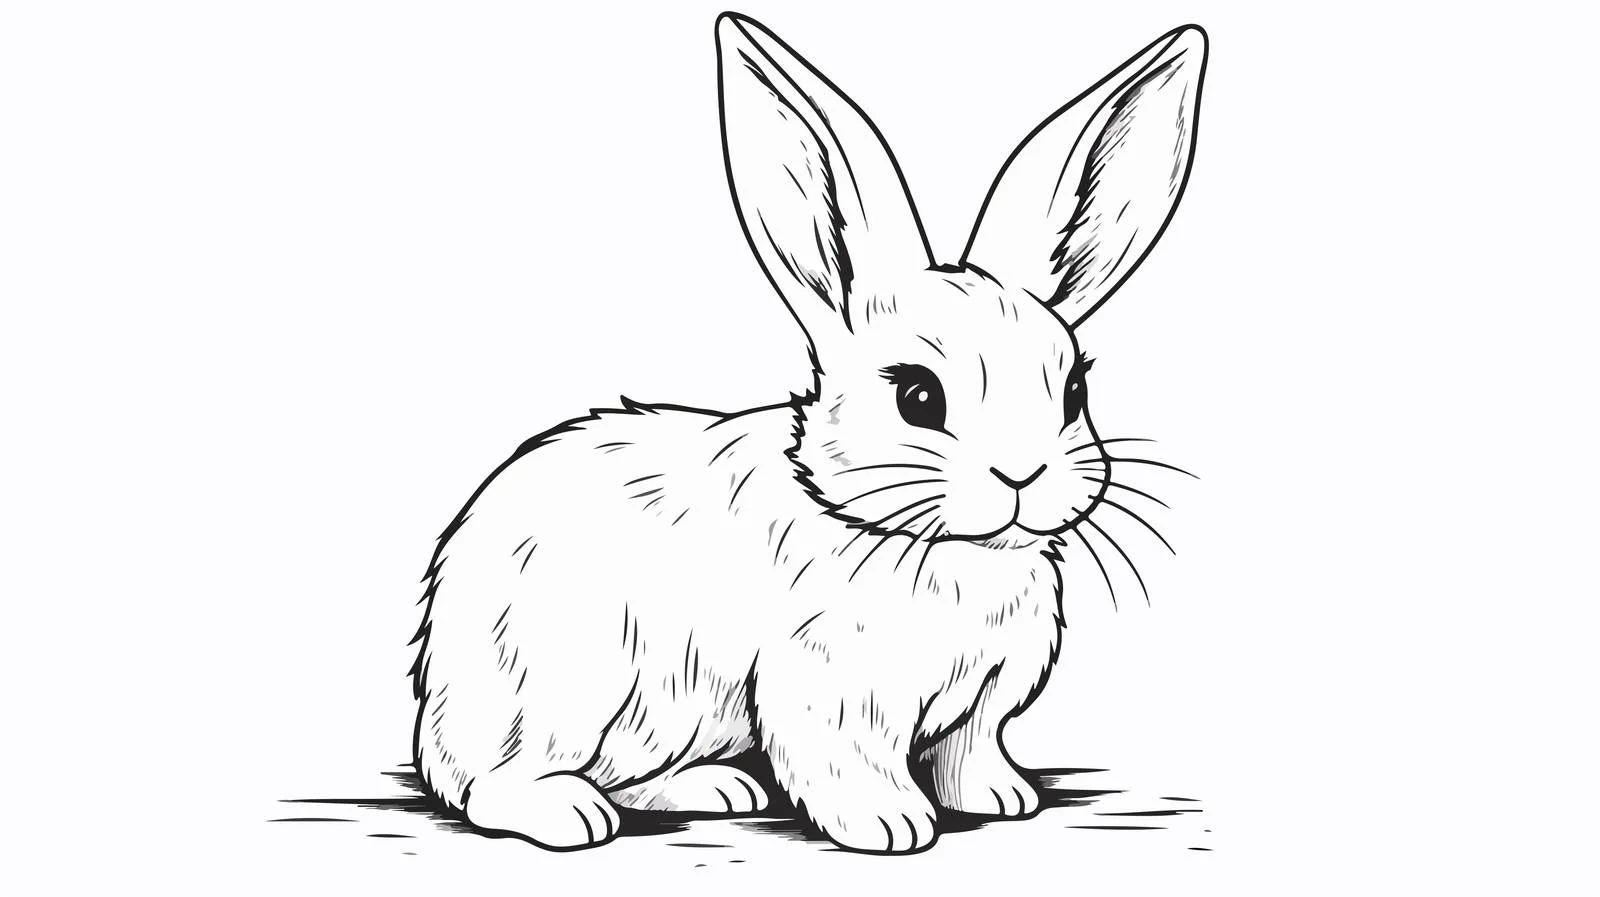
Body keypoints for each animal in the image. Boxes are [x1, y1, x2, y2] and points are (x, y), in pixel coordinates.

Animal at [410, 12, 1206, 854]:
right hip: (559, 688)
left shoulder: (982, 702)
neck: (944, 550)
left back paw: (718, 789)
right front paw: (893, 825)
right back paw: (570, 813)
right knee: (487, 782)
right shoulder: (831, 686)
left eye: (1075, 389)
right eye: (918, 396)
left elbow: (969, 752)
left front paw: (1001, 797)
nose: (1022, 474)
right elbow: (845, 760)